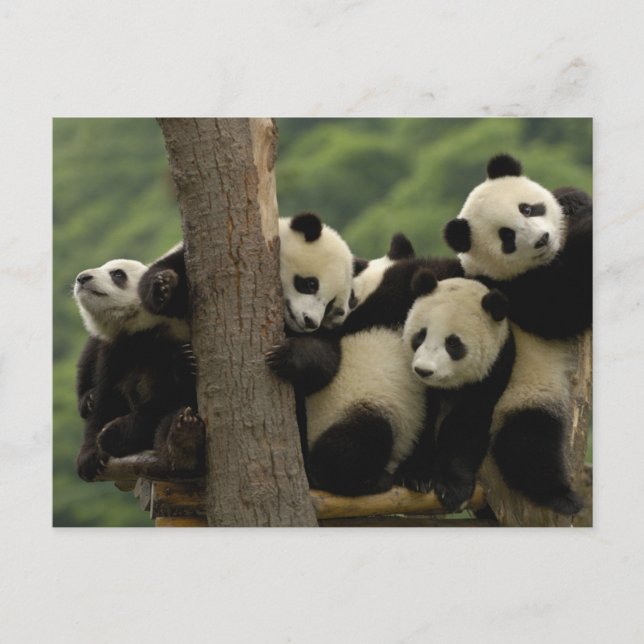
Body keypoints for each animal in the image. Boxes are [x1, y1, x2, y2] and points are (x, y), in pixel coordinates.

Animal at [73, 258, 203, 481]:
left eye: (118, 274)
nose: (83, 277)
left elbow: (163, 402)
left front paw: (111, 435)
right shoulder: (115, 351)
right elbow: (105, 398)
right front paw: (89, 457)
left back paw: (183, 440)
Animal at [400, 270, 515, 512]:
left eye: (453, 343)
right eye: (420, 335)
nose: (424, 370)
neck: (446, 386)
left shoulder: (493, 372)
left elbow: (467, 426)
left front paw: (452, 489)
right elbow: (421, 417)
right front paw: (416, 475)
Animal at [442, 153, 591, 514]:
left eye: (527, 208)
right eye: (507, 237)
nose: (542, 240)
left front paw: (572, 201)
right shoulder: (513, 291)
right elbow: (565, 305)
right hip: (520, 395)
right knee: (527, 442)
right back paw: (559, 496)